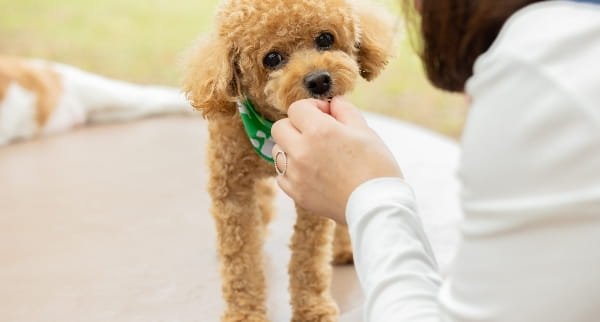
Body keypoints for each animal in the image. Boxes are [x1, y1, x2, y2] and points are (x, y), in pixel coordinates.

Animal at [185, 1, 396, 320]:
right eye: (272, 58)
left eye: (325, 39)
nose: (319, 80)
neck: (271, 124)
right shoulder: (232, 188)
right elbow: (242, 259)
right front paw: (245, 311)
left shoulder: (315, 192)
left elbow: (308, 258)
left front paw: (313, 309)